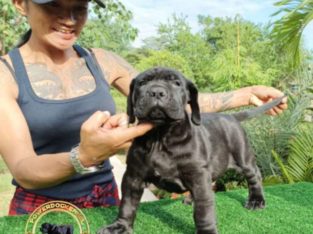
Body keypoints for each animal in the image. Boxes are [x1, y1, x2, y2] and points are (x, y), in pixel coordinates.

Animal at [98, 66, 286, 233]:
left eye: (176, 83)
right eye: (142, 83)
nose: (157, 92)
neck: (161, 136)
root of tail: (231, 116)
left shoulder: (198, 176)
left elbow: (203, 211)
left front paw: (206, 230)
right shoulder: (133, 176)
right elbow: (127, 204)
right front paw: (120, 226)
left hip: (243, 155)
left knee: (254, 176)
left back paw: (256, 201)